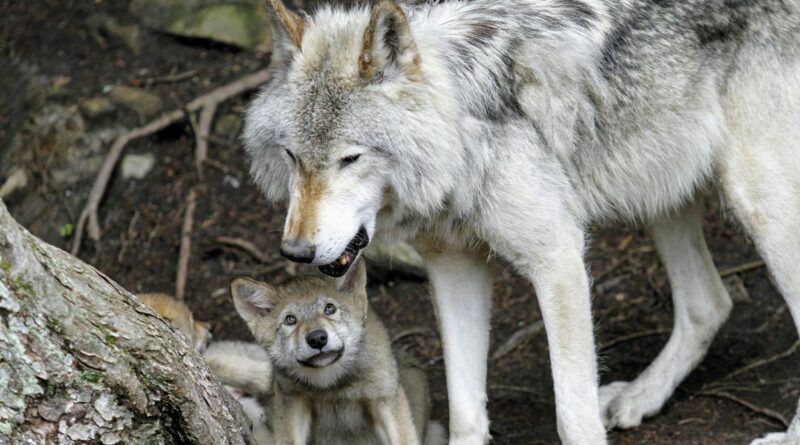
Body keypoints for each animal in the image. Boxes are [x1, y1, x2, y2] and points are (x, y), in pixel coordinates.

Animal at [228, 260, 446, 444]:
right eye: (290, 320)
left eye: (329, 309)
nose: (317, 338)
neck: (333, 385)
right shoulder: (292, 401)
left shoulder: (385, 399)